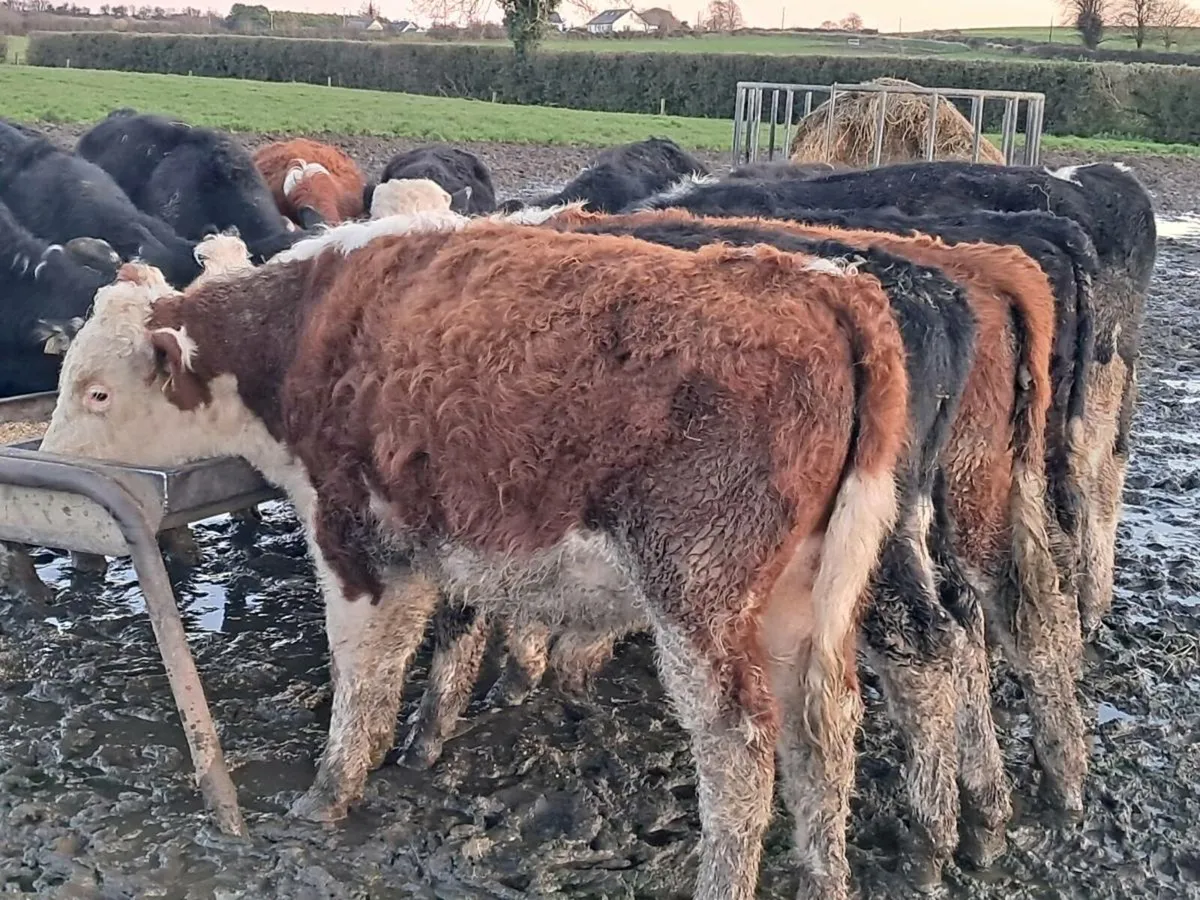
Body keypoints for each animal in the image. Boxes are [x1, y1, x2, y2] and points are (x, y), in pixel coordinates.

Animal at [39, 210, 911, 900]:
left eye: (98, 392)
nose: (50, 477)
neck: (305, 332)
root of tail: (826, 288)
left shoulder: (355, 540)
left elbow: (364, 673)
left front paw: (331, 791)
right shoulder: (447, 539)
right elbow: (444, 647)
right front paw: (422, 748)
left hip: (702, 597)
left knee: (739, 746)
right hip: (801, 604)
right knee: (824, 736)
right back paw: (825, 879)